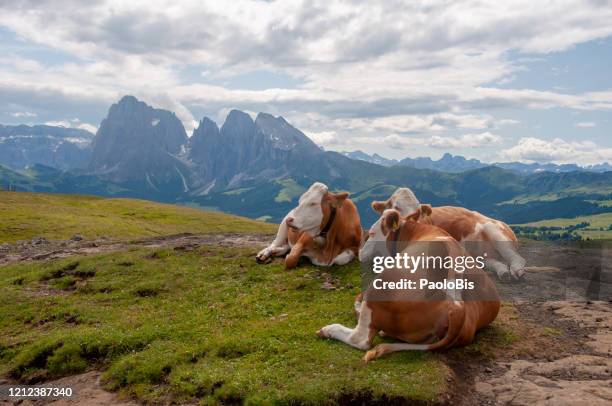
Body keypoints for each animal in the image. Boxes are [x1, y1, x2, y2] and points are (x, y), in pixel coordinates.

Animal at [318, 208, 500, 360]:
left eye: (372, 233)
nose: (360, 252)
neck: (418, 231)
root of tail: (457, 307)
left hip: (380, 284)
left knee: (360, 338)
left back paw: (329, 329)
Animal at [368, 188, 524, 280]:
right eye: (396, 207)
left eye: (418, 212)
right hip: (482, 256)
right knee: (495, 262)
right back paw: (503, 272)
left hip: (495, 232)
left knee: (516, 257)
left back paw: (517, 270)